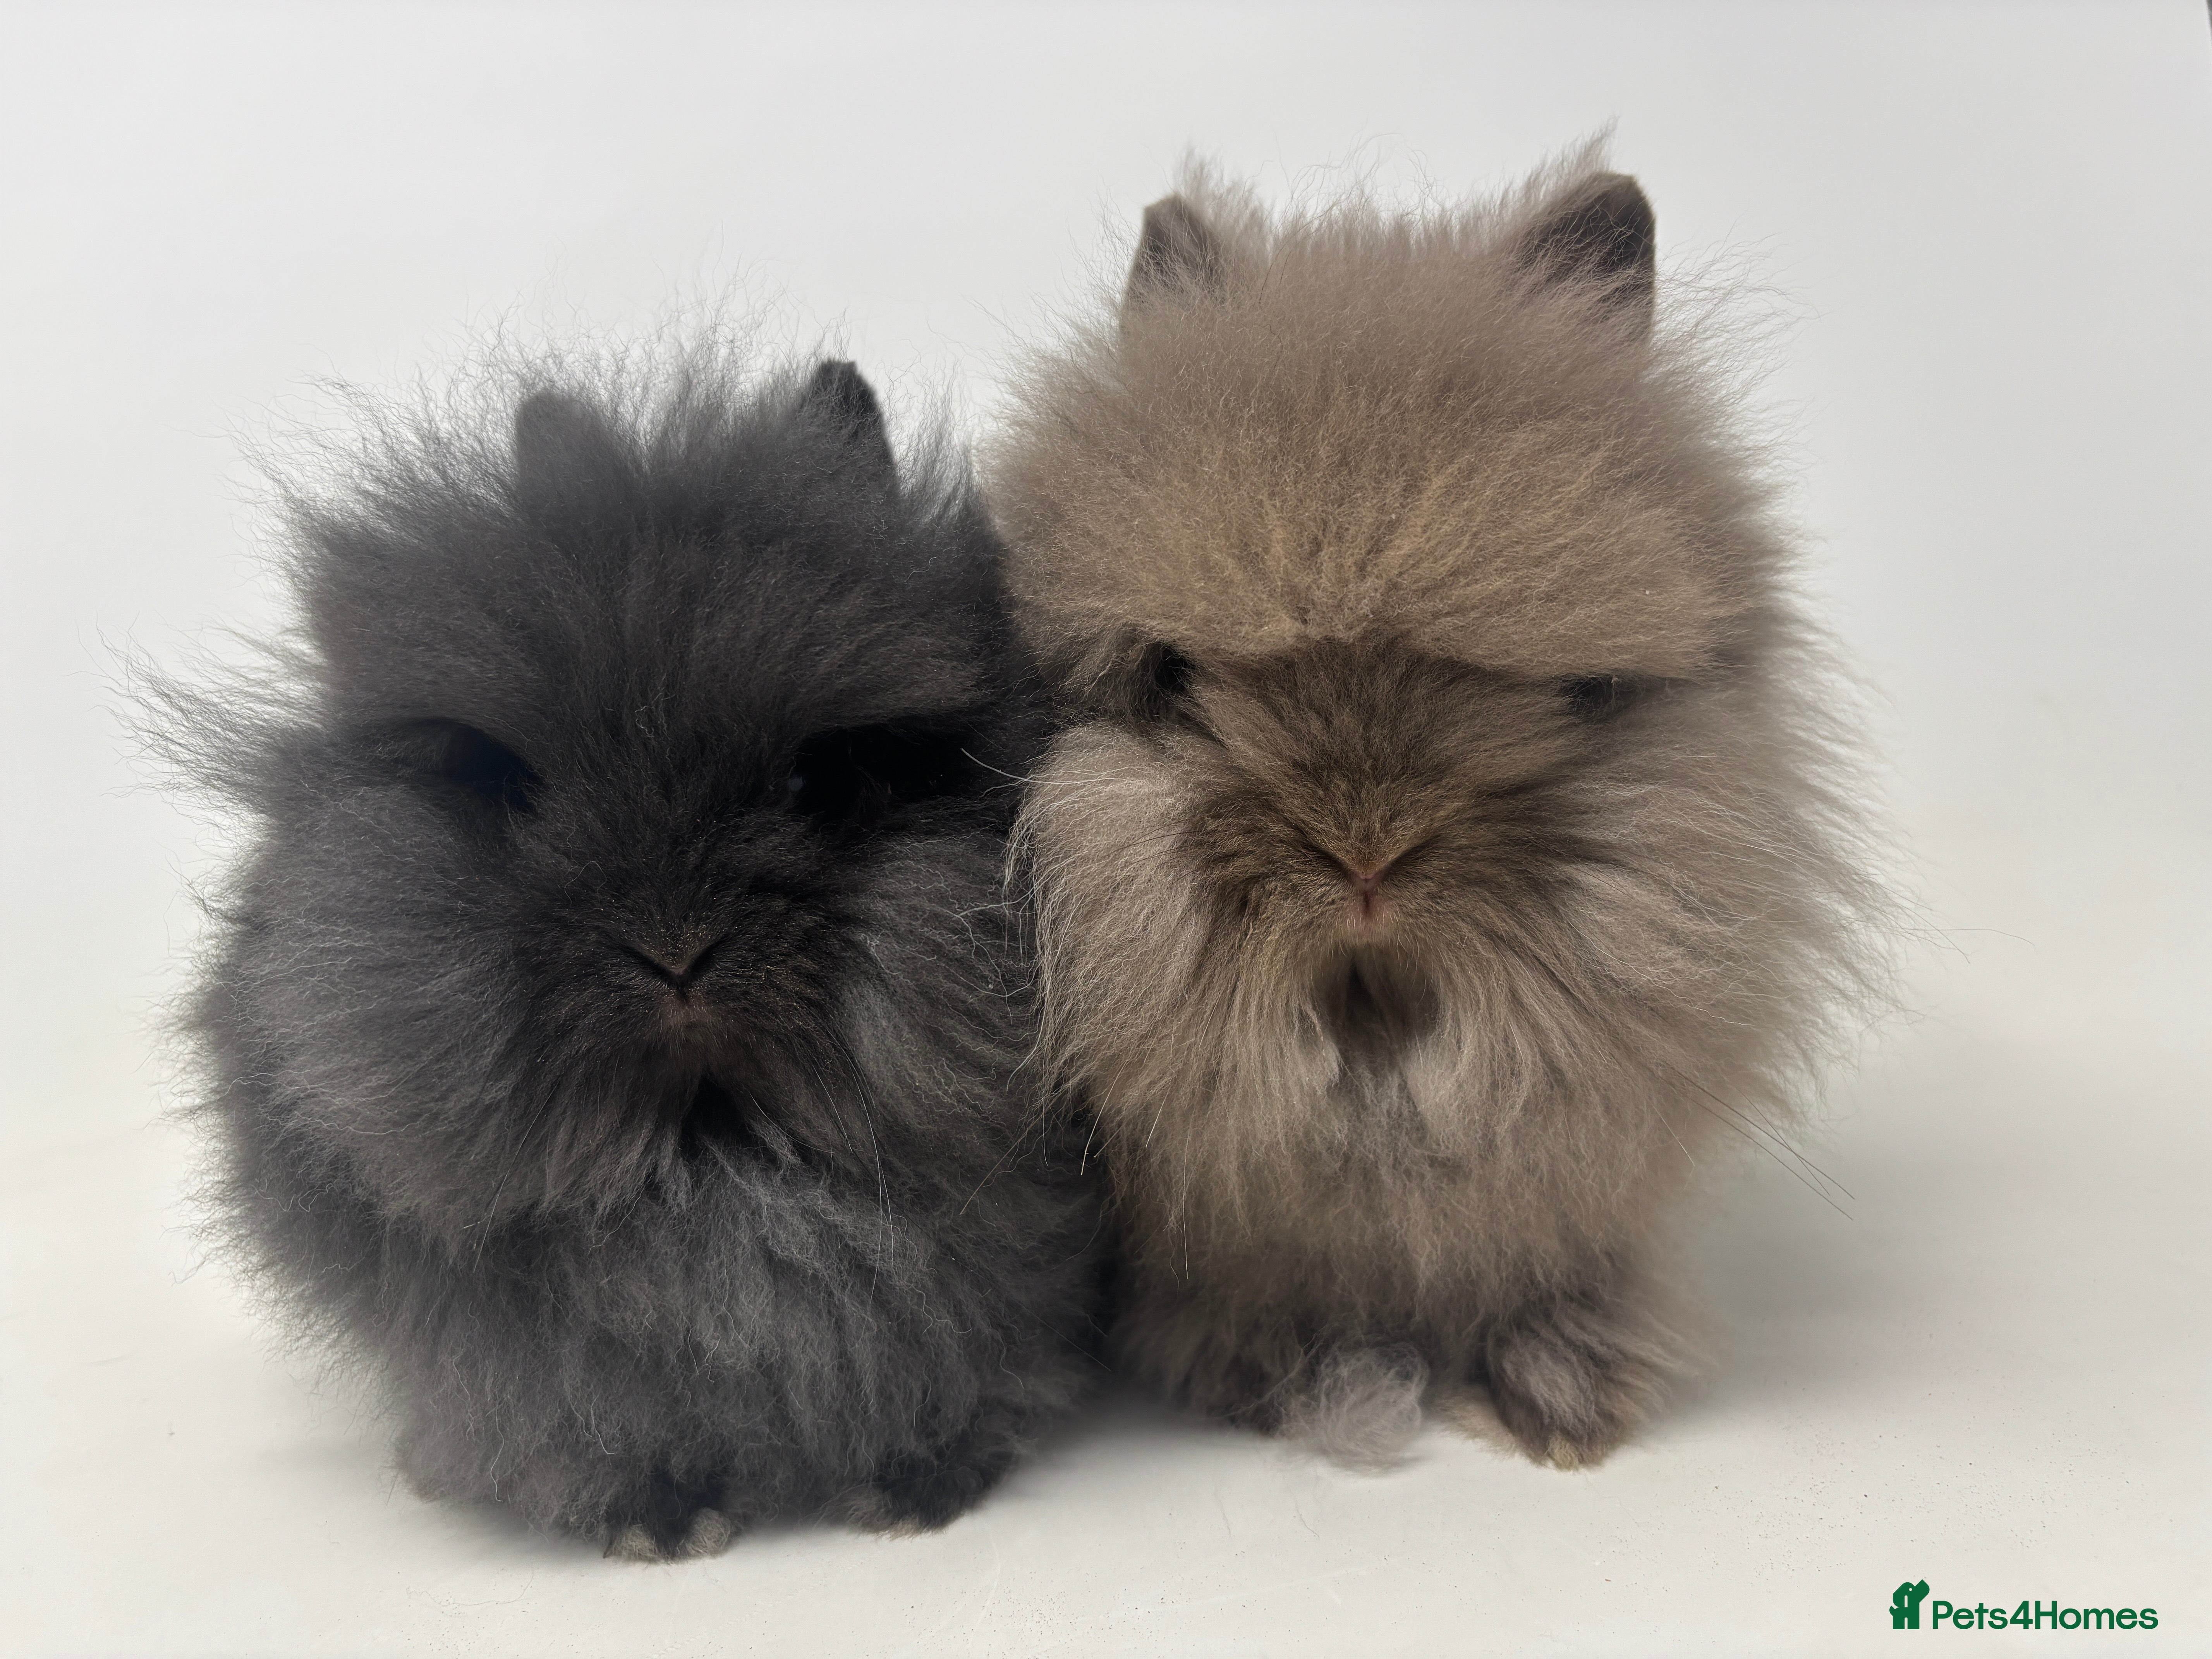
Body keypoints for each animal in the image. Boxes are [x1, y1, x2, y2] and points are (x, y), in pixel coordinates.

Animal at [154, 343, 1107, 1557]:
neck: (711, 1145)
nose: (677, 955)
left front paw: (913, 1489)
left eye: (817, 781)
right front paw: (656, 1521)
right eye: (519, 791)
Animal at [984, 151, 1892, 1470]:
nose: (1366, 856)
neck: (1380, 1039)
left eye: (1571, 690)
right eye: (1175, 678)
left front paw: (1564, 1407)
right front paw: (1273, 1381)